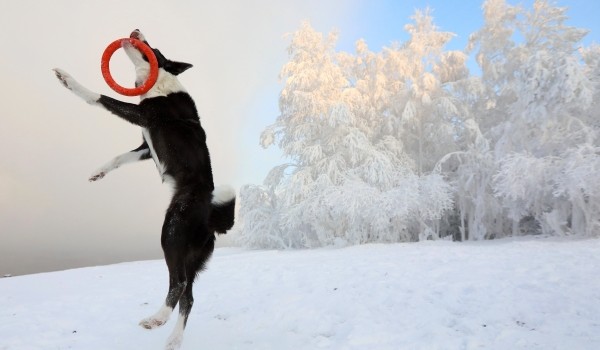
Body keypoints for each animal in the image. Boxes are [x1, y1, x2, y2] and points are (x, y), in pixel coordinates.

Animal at [54, 30, 236, 350]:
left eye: (155, 48)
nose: (136, 31)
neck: (158, 81)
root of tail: (211, 218)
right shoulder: (144, 147)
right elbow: (119, 158)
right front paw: (98, 172)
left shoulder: (143, 115)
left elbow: (98, 97)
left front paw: (68, 79)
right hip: (191, 255)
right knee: (188, 296)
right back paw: (173, 337)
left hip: (171, 232)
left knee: (178, 283)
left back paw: (158, 318)